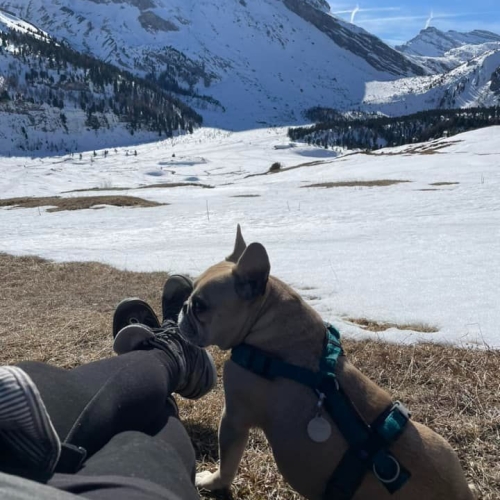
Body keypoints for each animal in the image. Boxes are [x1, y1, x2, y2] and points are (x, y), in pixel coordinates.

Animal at [178, 225, 476, 499]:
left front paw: (212, 482)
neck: (265, 319)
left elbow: (227, 463)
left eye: (200, 306)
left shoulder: (234, 418)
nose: (182, 306)